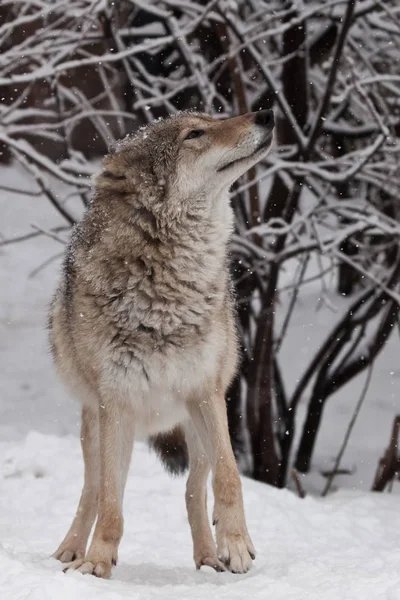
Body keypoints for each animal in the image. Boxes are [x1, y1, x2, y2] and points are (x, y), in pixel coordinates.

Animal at [48, 108, 276, 576]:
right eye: (195, 134)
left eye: (213, 117)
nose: (267, 112)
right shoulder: (115, 406)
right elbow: (110, 505)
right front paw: (96, 563)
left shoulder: (206, 392)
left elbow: (230, 478)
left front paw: (236, 544)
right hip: (97, 429)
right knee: (94, 491)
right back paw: (73, 550)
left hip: (196, 429)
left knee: (194, 489)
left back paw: (208, 557)